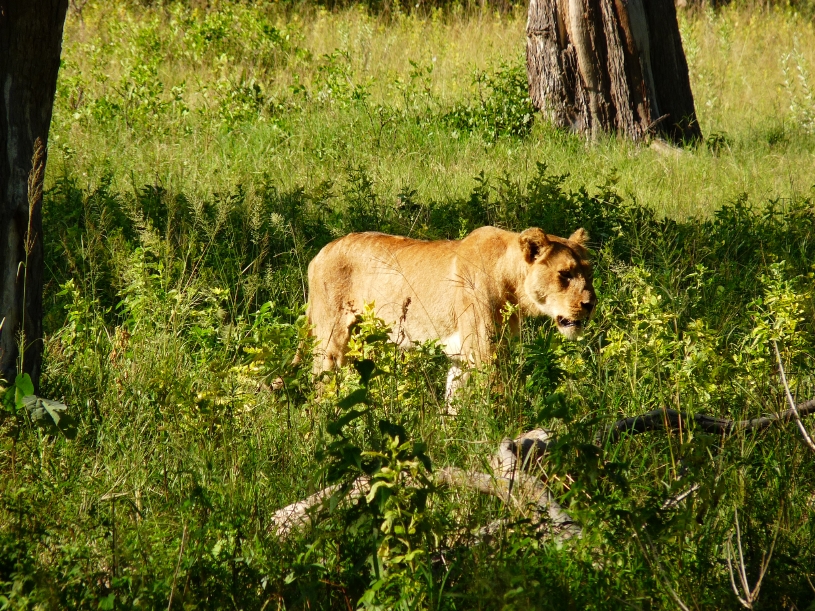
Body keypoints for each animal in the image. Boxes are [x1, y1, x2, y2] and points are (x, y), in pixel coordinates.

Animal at [306, 226, 596, 401]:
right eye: (565, 274)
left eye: (589, 273)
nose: (591, 304)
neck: (510, 278)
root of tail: (320, 253)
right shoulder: (485, 351)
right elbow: (498, 396)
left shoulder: (462, 356)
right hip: (331, 342)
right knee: (320, 385)